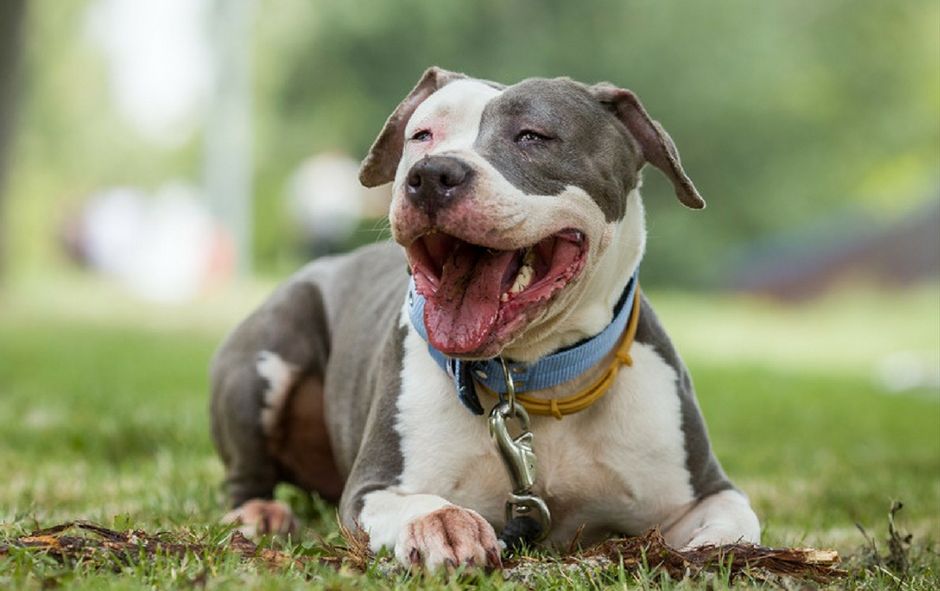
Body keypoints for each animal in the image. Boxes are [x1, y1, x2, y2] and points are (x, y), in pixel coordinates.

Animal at [209, 67, 760, 572]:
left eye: (533, 136)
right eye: (421, 135)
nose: (432, 174)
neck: (537, 377)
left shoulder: (706, 490)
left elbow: (735, 522)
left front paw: (714, 553)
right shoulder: (372, 487)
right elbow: (420, 503)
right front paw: (444, 525)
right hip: (264, 359)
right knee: (245, 476)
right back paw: (259, 513)